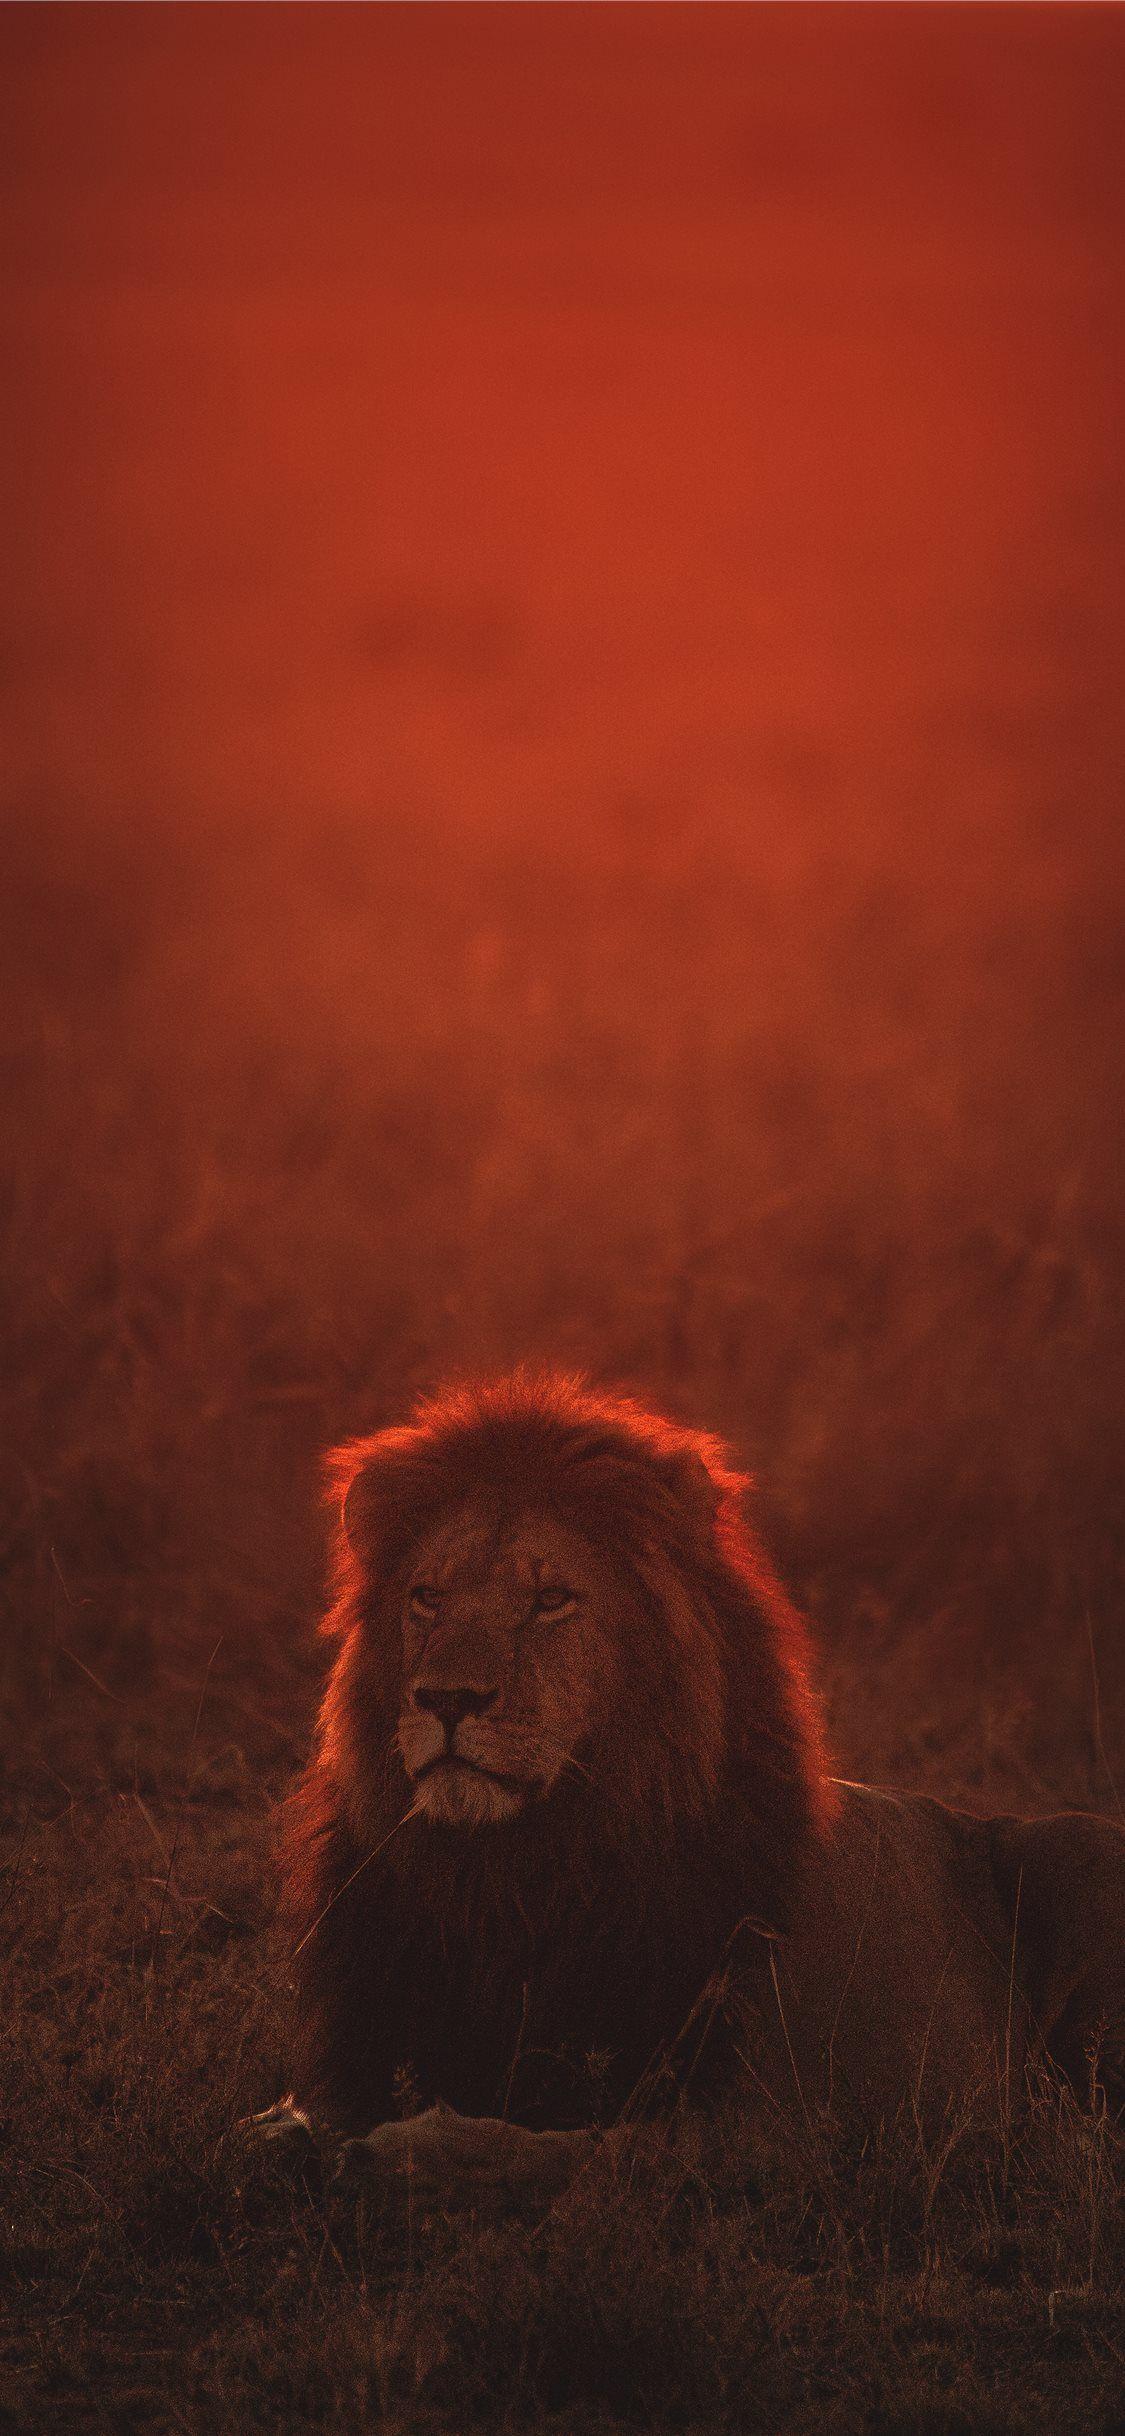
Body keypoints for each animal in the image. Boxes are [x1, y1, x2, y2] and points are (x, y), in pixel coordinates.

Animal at [265, 1372, 1125, 2194]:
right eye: (427, 1598)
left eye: (550, 1600)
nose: (446, 1700)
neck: (510, 1878)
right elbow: (281, 2126)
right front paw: (304, 2140)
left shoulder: (780, 2126)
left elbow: (586, 2152)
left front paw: (415, 2149)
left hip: (1077, 1858)